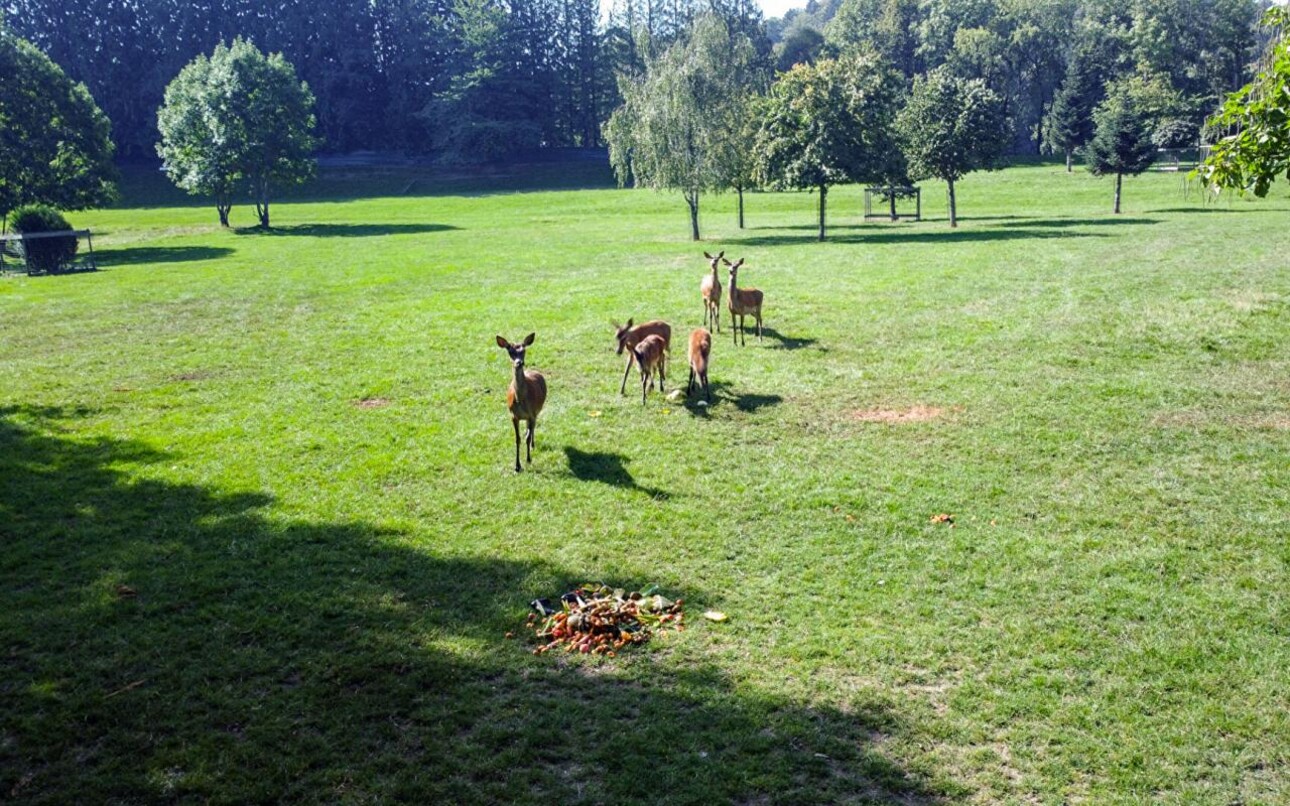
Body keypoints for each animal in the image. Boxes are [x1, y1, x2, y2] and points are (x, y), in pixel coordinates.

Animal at [495, 332, 546, 471]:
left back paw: (533, 445)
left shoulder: (532, 413)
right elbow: (517, 439)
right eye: (510, 351)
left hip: (537, 410)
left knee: (532, 429)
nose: (519, 363)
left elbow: (527, 437)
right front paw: (517, 466)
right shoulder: (513, 416)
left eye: (523, 351)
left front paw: (528, 459)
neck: (521, 400)